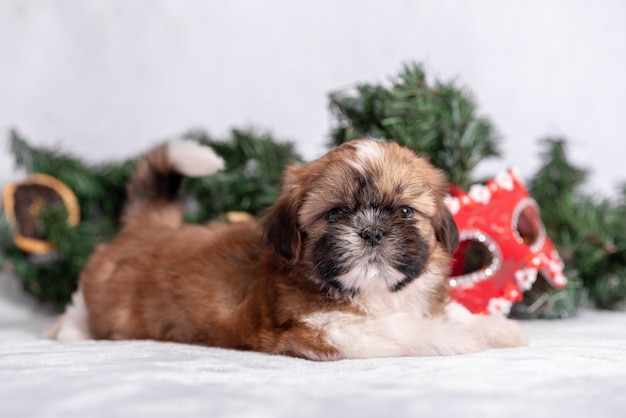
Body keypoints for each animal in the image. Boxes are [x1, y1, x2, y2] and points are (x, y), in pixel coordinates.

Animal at [48, 138, 524, 360]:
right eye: (335, 214)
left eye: (405, 211)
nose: (371, 232)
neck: (372, 294)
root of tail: (149, 225)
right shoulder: (324, 331)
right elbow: (406, 331)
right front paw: (453, 338)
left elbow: (441, 312)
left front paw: (491, 327)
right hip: (106, 297)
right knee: (81, 305)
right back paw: (67, 332)